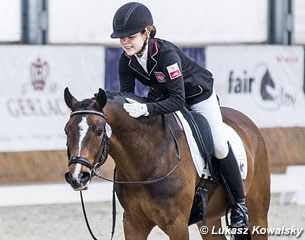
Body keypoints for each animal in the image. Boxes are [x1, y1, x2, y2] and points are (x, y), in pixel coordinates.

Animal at [63, 88, 268, 240]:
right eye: (67, 130)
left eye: (99, 131)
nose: (77, 177)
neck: (146, 166)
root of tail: (247, 122)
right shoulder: (133, 223)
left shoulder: (177, 224)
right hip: (209, 218)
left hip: (258, 213)